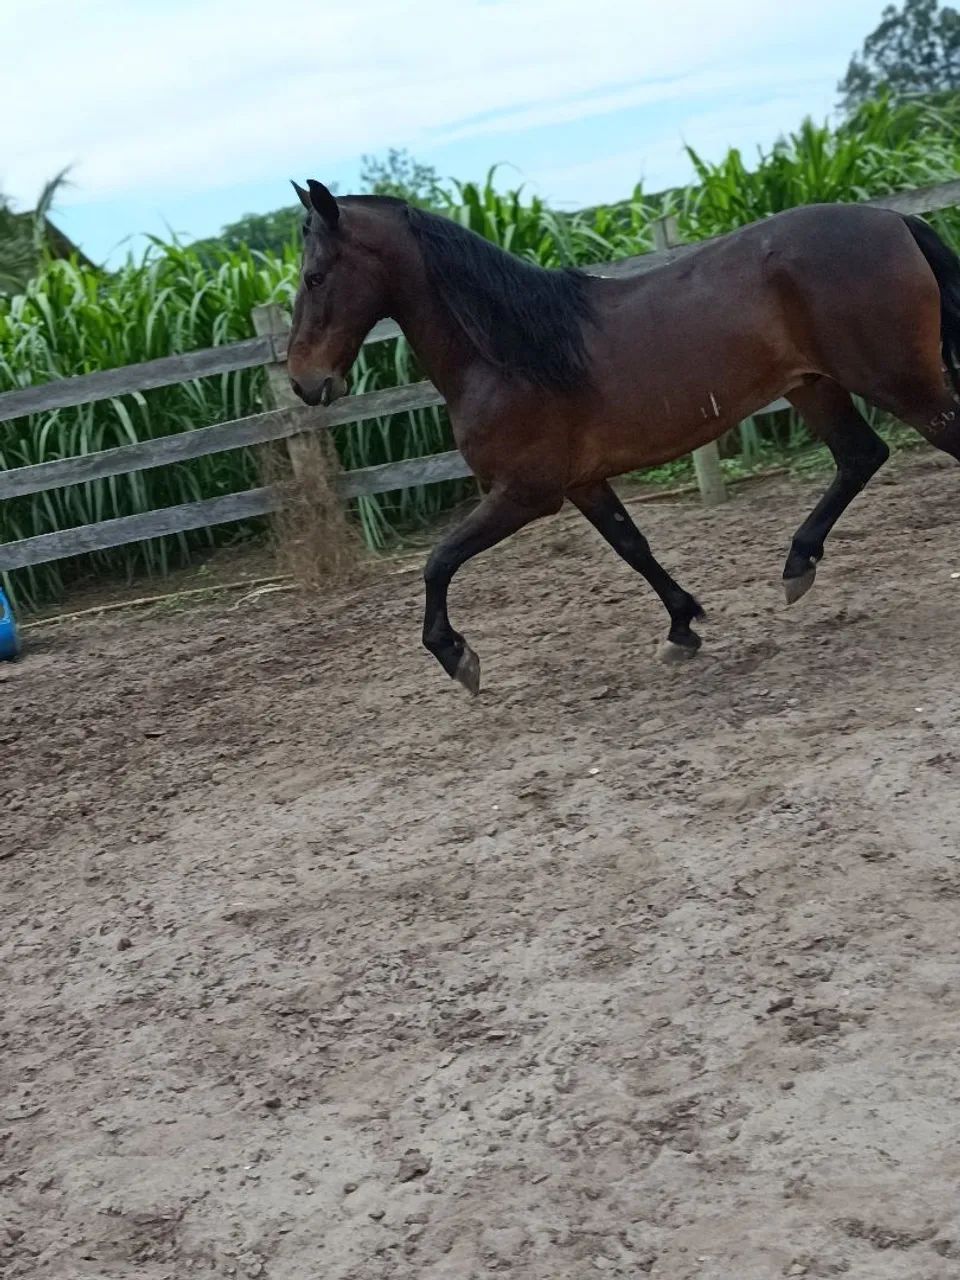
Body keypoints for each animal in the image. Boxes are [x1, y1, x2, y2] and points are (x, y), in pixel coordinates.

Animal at [287, 178, 960, 695]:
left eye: (316, 277)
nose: (303, 382)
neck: (506, 353)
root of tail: (895, 221)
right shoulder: (583, 483)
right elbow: (632, 546)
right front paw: (682, 629)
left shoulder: (526, 493)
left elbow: (438, 561)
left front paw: (457, 658)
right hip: (815, 385)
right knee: (860, 456)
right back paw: (797, 566)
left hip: (901, 384)